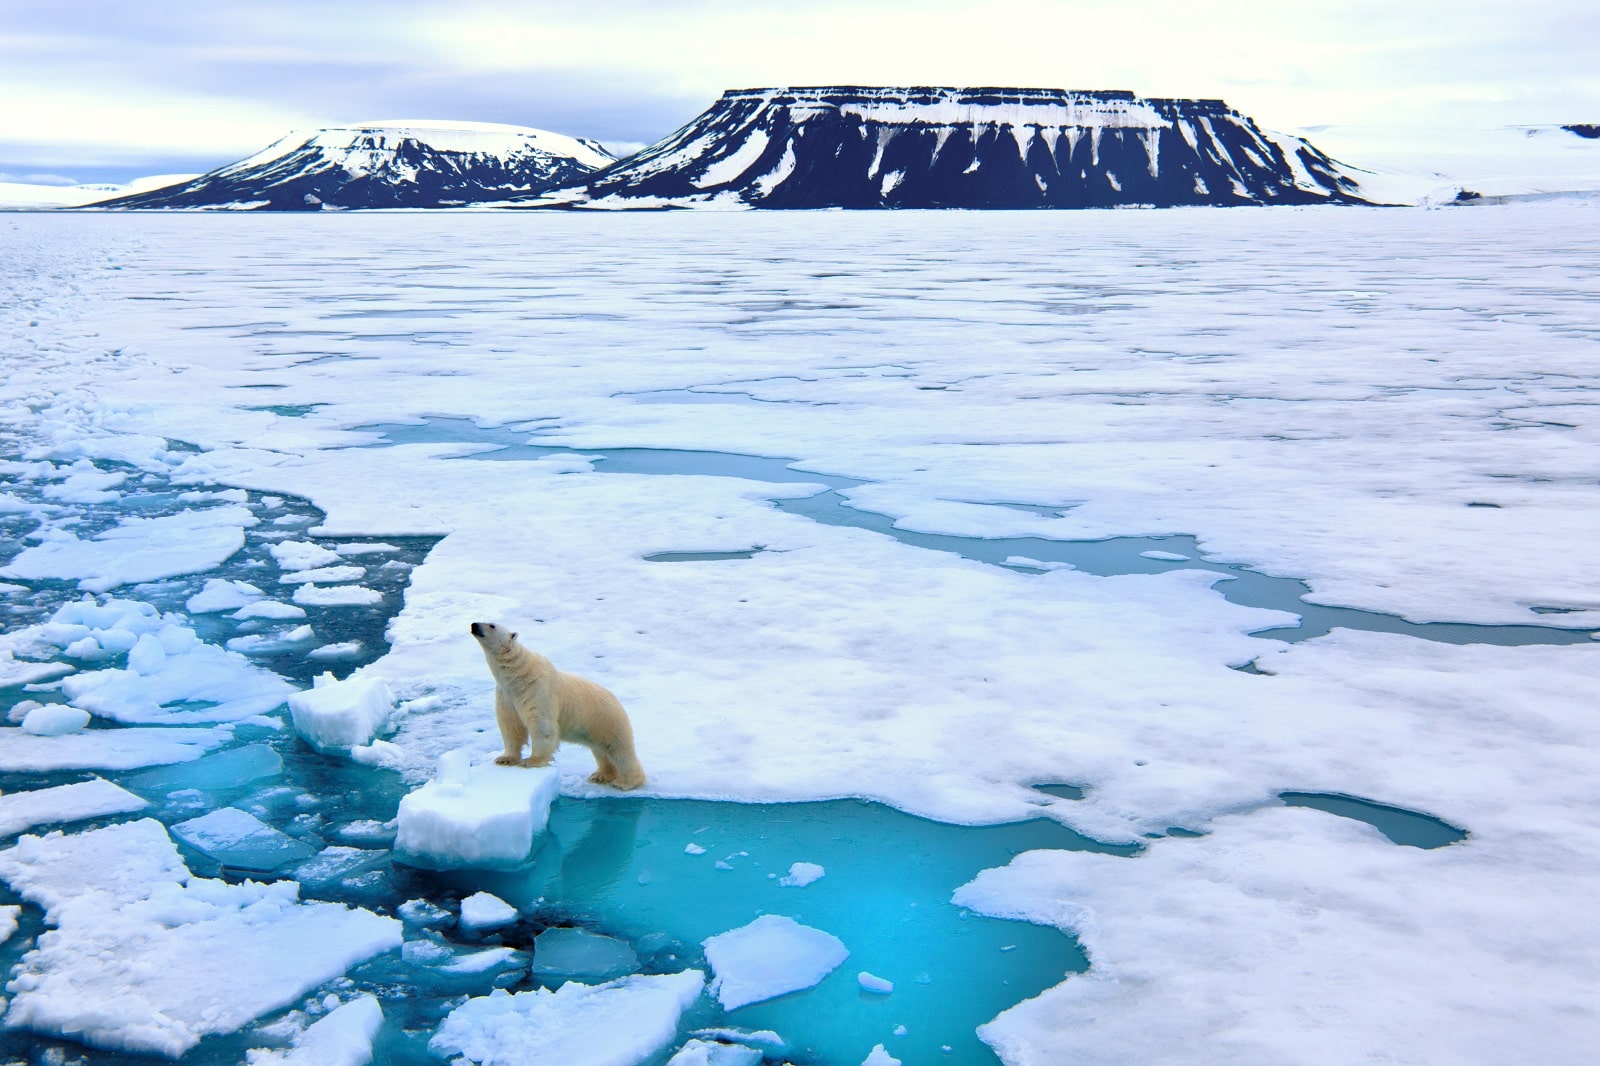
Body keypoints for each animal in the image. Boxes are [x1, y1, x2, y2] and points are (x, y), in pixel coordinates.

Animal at [470, 617, 646, 784]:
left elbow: (542, 725)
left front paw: (531, 761)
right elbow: (511, 726)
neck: (519, 675)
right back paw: (600, 776)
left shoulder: (538, 690)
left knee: (618, 750)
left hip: (607, 720)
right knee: (601, 751)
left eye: (492, 625)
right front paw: (504, 758)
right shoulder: (506, 695)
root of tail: (617, 701)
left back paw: (626, 782)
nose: (474, 625)